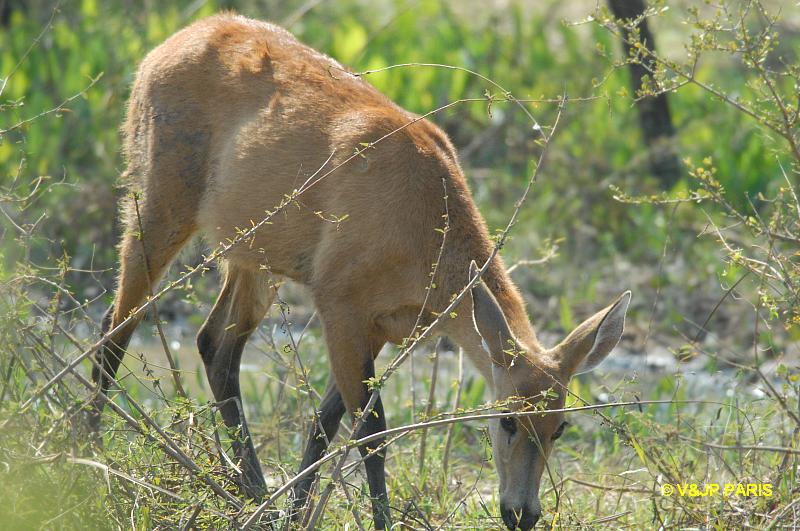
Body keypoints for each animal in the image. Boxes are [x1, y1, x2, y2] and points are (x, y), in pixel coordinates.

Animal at [92, 12, 632, 531]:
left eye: (560, 427)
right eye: (507, 420)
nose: (523, 514)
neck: (425, 246)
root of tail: (157, 53)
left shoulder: (382, 325)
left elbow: (325, 423)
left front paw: (294, 515)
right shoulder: (339, 299)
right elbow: (372, 434)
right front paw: (377, 520)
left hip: (252, 253)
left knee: (214, 344)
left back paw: (255, 496)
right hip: (159, 198)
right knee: (114, 327)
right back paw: (87, 454)